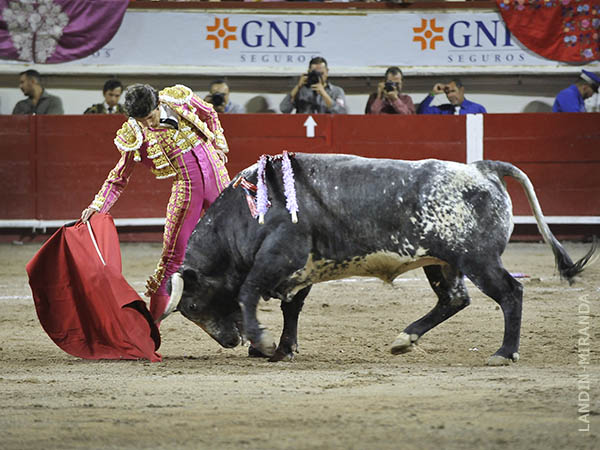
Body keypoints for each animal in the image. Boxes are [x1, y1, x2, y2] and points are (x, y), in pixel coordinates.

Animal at [163, 154, 596, 366]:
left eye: (193, 306)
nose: (230, 341)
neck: (247, 211)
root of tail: (481, 168)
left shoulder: (280, 257)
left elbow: (249, 292)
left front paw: (265, 343)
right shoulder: (300, 270)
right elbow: (291, 307)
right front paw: (283, 348)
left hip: (479, 259)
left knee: (510, 293)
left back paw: (504, 353)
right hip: (442, 262)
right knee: (454, 299)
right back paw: (405, 339)